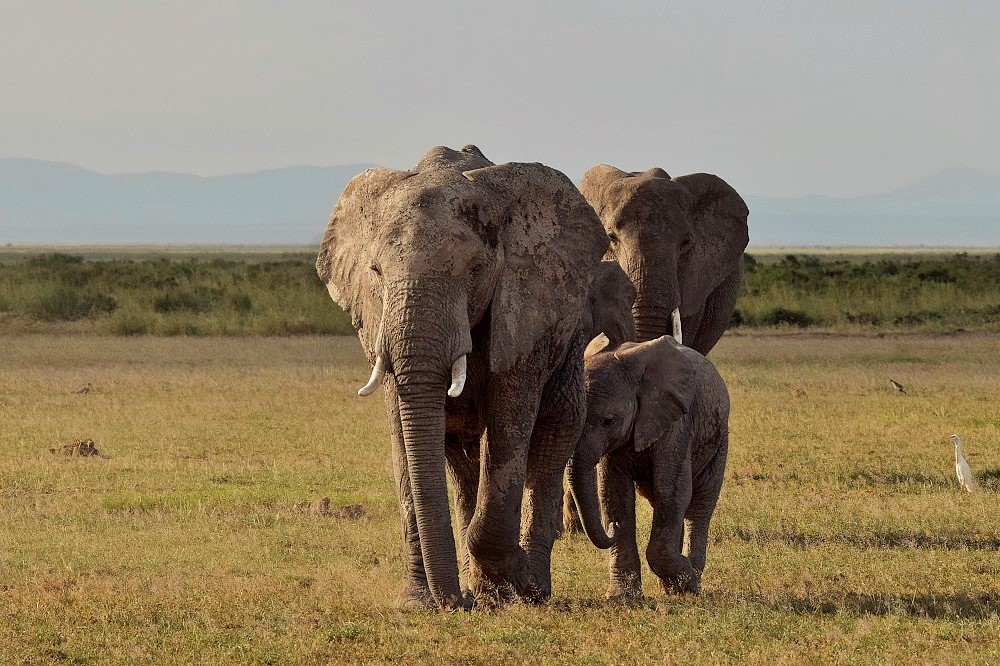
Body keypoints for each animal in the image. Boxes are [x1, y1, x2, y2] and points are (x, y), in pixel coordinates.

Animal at [316, 144, 604, 608]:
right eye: (375, 272)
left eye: (474, 271)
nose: (454, 602)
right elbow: (404, 435)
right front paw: (418, 604)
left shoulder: (522, 307)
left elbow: (510, 425)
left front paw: (512, 581)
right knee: (458, 453)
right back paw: (481, 588)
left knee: (555, 432)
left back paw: (528, 589)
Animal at [572, 334, 728, 592]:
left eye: (608, 421)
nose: (612, 527)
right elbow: (613, 494)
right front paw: (622, 595)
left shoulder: (677, 422)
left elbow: (673, 489)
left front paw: (688, 579)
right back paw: (671, 586)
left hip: (718, 441)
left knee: (699, 504)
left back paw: (690, 580)